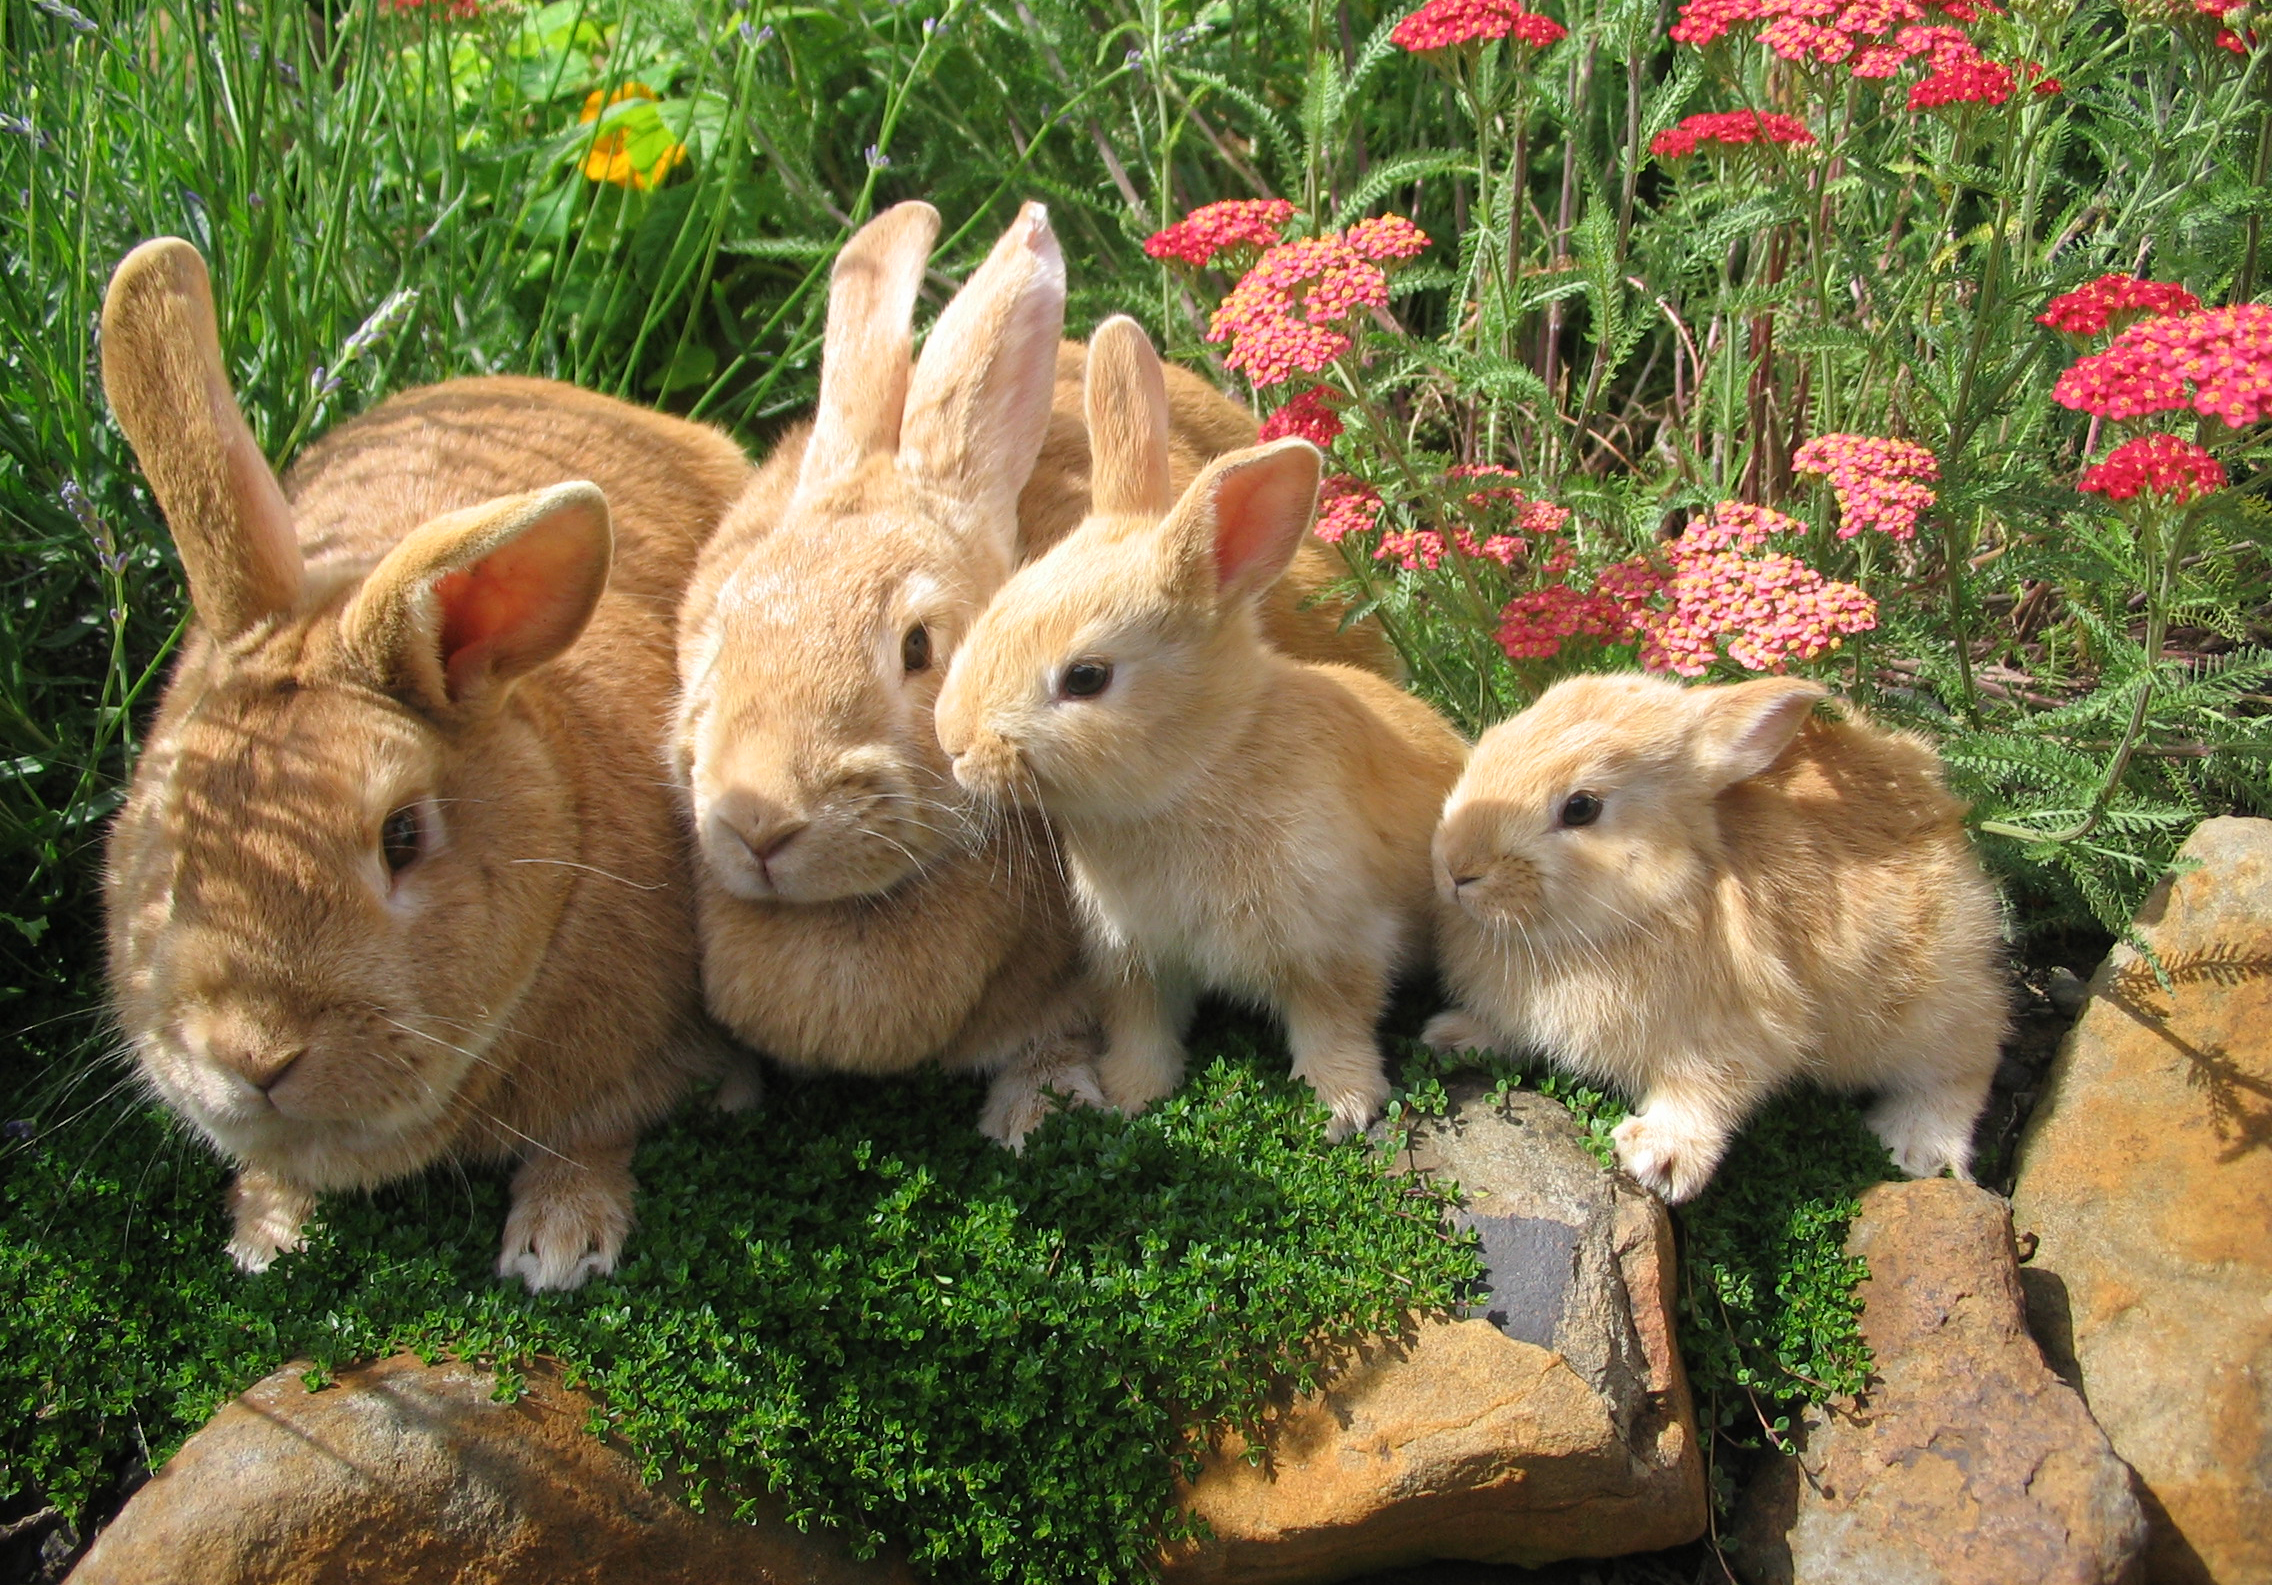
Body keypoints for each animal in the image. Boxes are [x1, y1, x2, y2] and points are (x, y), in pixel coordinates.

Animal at [99, 237, 751, 1291]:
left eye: (401, 836)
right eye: (172, 820)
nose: (256, 1056)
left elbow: (593, 1134)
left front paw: (559, 1246)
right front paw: (265, 1237)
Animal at [933, 316, 1471, 1141]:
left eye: (1086, 678)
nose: (953, 743)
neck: (1197, 771)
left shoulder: (1335, 943)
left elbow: (1334, 1023)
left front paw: (1343, 1106)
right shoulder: (1136, 959)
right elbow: (1143, 1027)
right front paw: (1130, 1093)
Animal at [1423, 671, 2008, 1204]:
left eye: (1581, 807)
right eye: (1492, 740)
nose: (1455, 868)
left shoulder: (1733, 1032)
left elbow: (1703, 1093)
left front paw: (1659, 1160)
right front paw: (1453, 1036)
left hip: (1924, 1003)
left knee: (1970, 1057)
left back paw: (1916, 1145)